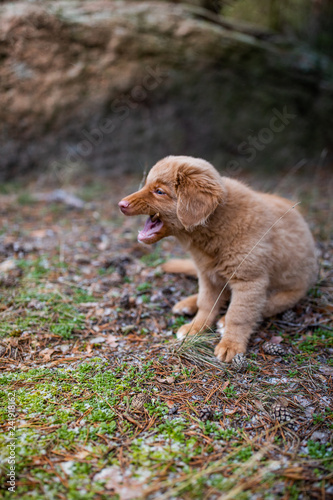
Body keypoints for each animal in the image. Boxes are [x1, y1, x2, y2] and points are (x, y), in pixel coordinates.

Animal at [118, 155, 316, 360]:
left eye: (159, 191)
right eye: (146, 185)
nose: (121, 205)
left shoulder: (249, 281)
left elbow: (238, 315)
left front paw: (231, 345)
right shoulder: (207, 275)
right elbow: (206, 304)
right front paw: (195, 328)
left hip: (288, 294)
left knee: (262, 306)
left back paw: (223, 321)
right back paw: (187, 304)